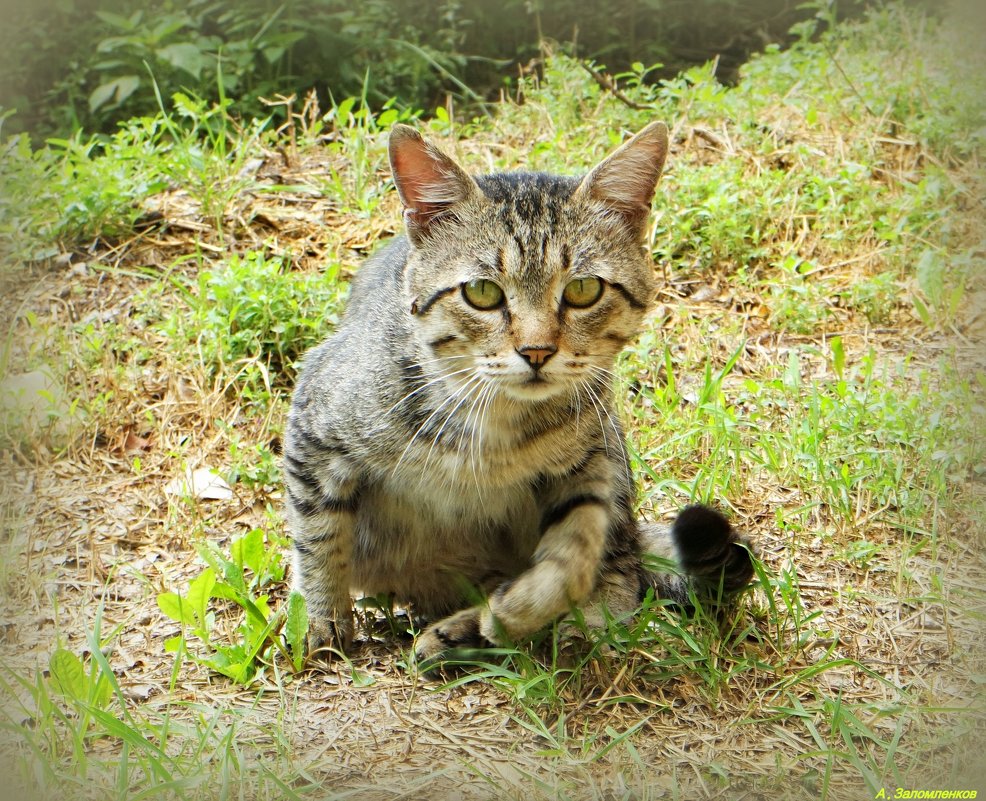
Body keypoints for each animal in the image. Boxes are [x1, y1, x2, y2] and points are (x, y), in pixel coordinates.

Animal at [284, 123, 752, 664]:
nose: (536, 351)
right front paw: (321, 619)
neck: (495, 421)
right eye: (482, 292)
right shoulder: (314, 425)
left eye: (584, 289)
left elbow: (573, 561)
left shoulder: (592, 469)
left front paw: (523, 610)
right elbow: (317, 536)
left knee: (623, 567)